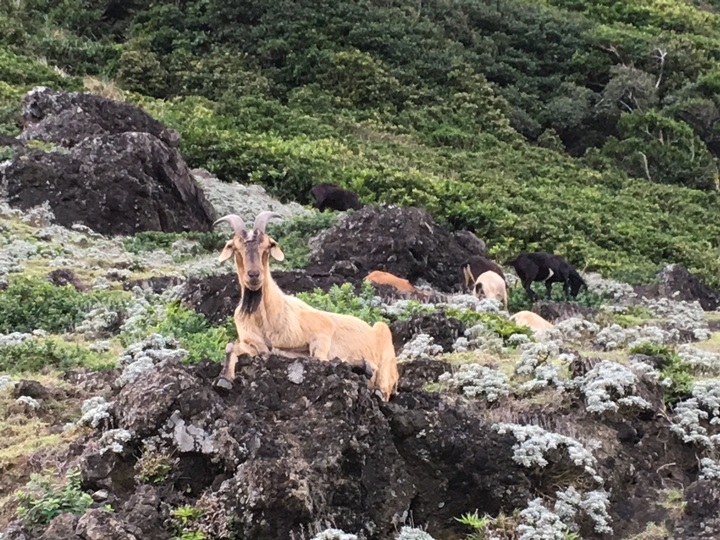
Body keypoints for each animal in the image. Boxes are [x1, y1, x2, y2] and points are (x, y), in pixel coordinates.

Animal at [214, 211, 400, 400]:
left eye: (267, 246)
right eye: (236, 248)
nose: (254, 275)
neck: (268, 317)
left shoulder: (323, 329)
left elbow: (318, 358)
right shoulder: (253, 343)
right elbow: (233, 347)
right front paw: (223, 380)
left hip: (385, 345)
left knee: (384, 385)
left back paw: (374, 383)